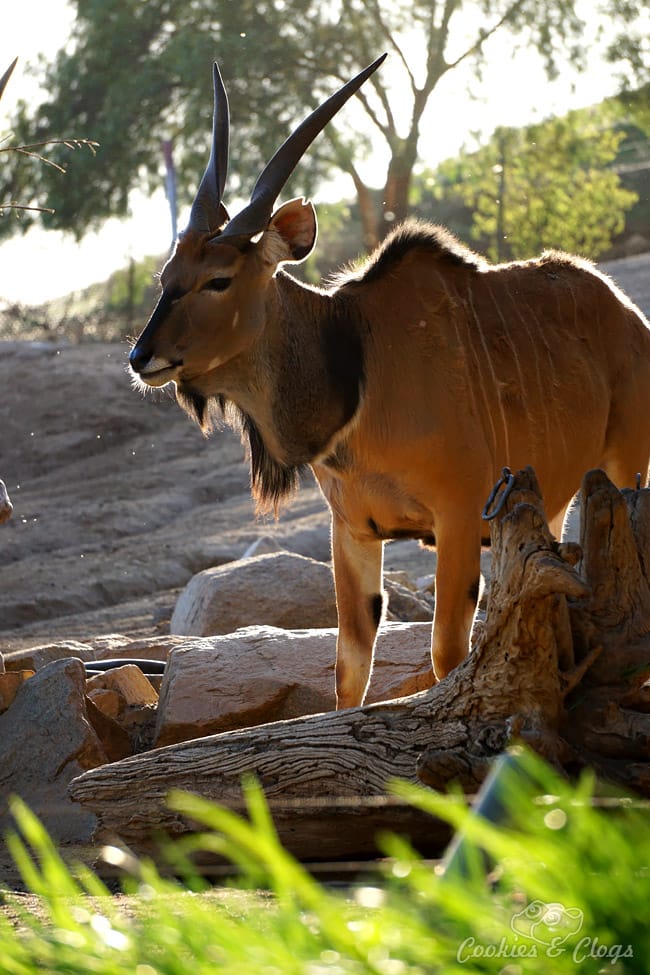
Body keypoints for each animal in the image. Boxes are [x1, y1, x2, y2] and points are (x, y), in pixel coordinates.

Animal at [130, 56, 650, 709]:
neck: (356, 362)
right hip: (550, 505)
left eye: (218, 279)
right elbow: (350, 666)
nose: (141, 356)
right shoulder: (353, 531)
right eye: (167, 275)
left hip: (625, 470)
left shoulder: (458, 519)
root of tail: (628, 313)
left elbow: (448, 653)